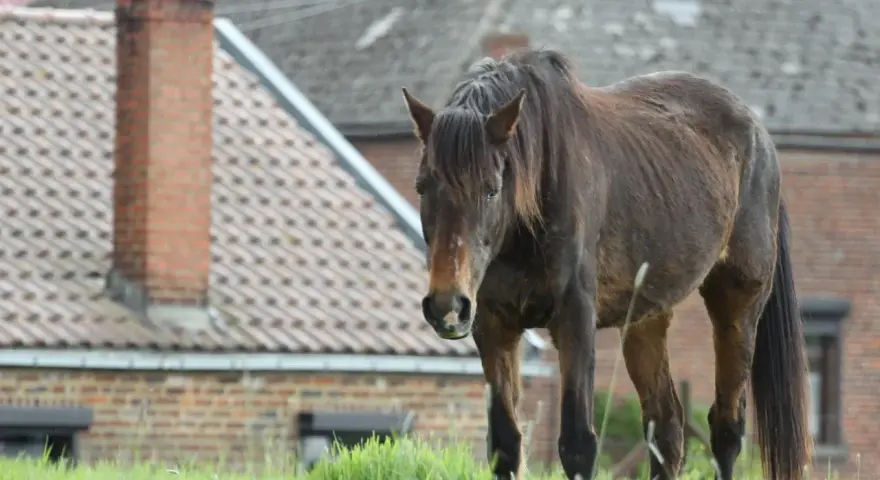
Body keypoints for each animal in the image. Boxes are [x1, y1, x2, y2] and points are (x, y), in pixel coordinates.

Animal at [400, 48, 811, 480]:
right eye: (422, 187)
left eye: (492, 190)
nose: (447, 306)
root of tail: (762, 138)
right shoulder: (493, 326)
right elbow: (504, 445)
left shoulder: (575, 321)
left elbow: (578, 444)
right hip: (646, 319)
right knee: (667, 427)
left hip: (738, 306)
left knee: (726, 429)